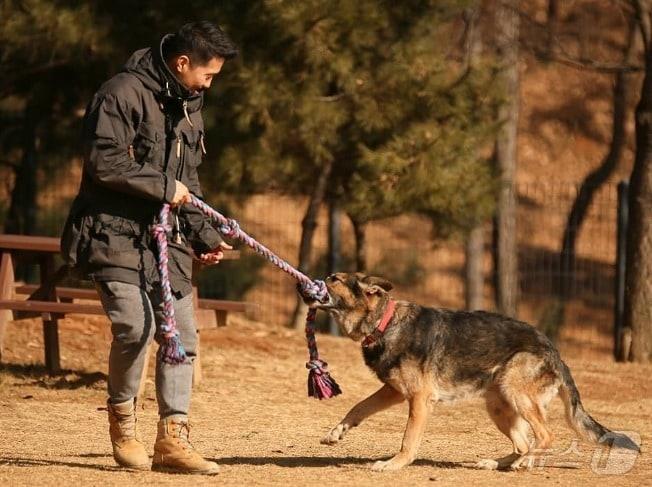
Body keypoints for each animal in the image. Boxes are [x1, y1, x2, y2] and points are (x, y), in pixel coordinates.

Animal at [304, 272, 640, 470]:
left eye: (333, 279)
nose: (301, 284)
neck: (385, 323)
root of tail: (553, 350)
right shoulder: (395, 392)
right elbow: (358, 407)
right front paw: (336, 433)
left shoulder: (419, 400)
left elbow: (408, 440)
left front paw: (394, 464)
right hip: (499, 406)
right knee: (523, 443)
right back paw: (498, 463)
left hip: (514, 393)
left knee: (545, 435)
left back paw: (524, 463)